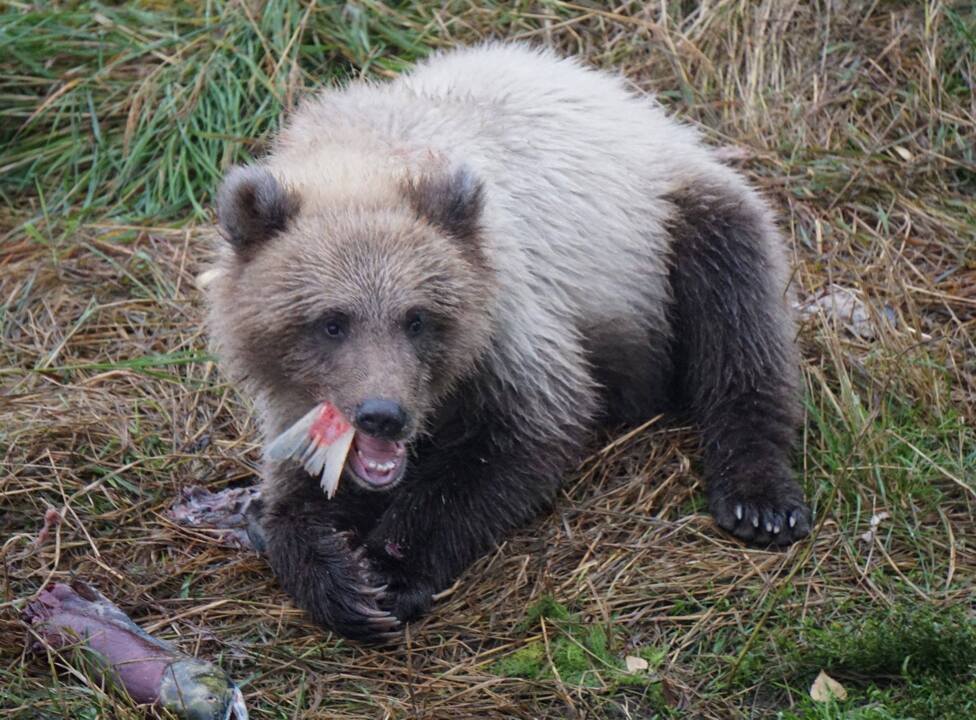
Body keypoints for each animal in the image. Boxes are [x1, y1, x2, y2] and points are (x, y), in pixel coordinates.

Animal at [205, 44, 811, 643]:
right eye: (332, 322)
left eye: (417, 319)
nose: (383, 414)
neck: (363, 159)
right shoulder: (295, 397)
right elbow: (297, 489)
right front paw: (334, 573)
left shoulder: (513, 318)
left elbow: (516, 439)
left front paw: (389, 571)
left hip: (670, 226)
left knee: (738, 321)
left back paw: (758, 499)